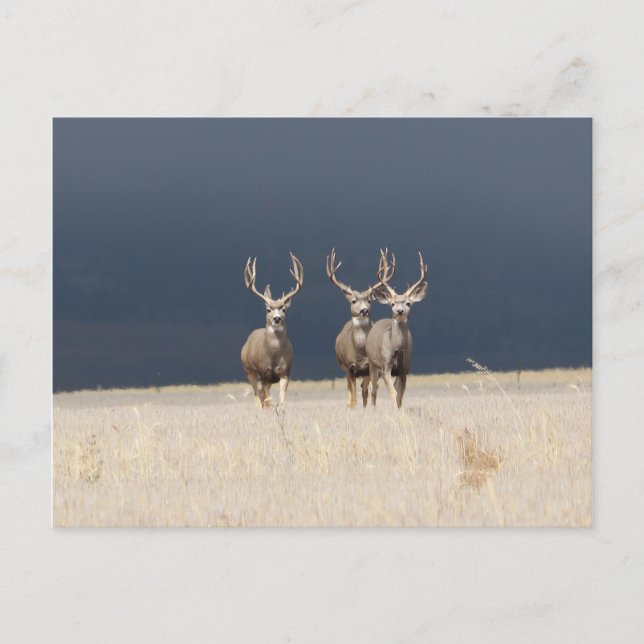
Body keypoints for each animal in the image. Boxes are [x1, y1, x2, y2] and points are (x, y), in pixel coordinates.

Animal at [240, 253, 303, 408]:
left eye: (284, 309)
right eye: (268, 309)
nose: (277, 318)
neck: (273, 356)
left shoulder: (285, 372)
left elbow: (281, 401)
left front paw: (281, 409)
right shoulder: (264, 373)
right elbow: (267, 400)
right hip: (248, 370)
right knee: (257, 395)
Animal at [326, 248, 396, 407]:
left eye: (369, 300)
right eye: (353, 301)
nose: (364, 310)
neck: (360, 352)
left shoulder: (369, 367)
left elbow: (366, 393)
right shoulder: (349, 367)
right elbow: (353, 398)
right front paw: (354, 408)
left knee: (365, 389)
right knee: (350, 393)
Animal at [366, 250, 428, 409]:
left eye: (408, 303)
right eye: (392, 304)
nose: (399, 311)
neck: (397, 346)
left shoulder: (404, 369)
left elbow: (400, 394)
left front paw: (400, 410)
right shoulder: (385, 366)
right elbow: (393, 392)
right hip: (372, 362)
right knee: (373, 389)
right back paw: (373, 409)